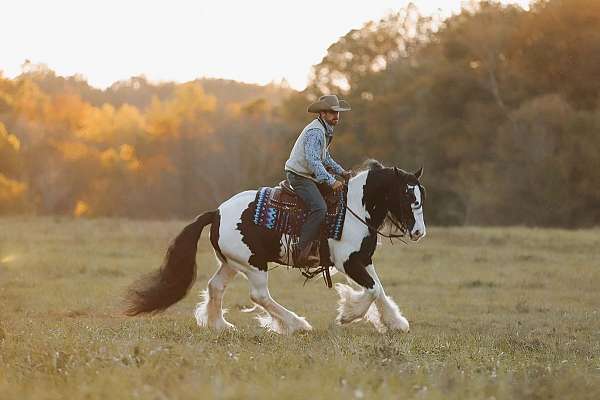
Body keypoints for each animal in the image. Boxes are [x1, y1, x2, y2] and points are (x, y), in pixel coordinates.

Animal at [125, 160, 426, 334]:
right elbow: (372, 290)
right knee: (259, 296)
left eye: (420, 194)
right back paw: (296, 324)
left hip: (232, 264)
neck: (353, 208)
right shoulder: (347, 261)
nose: (419, 232)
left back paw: (220, 325)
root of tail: (217, 212)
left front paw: (396, 323)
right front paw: (348, 314)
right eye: (407, 195)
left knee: (215, 286)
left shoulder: (363, 259)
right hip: (254, 265)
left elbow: (379, 289)